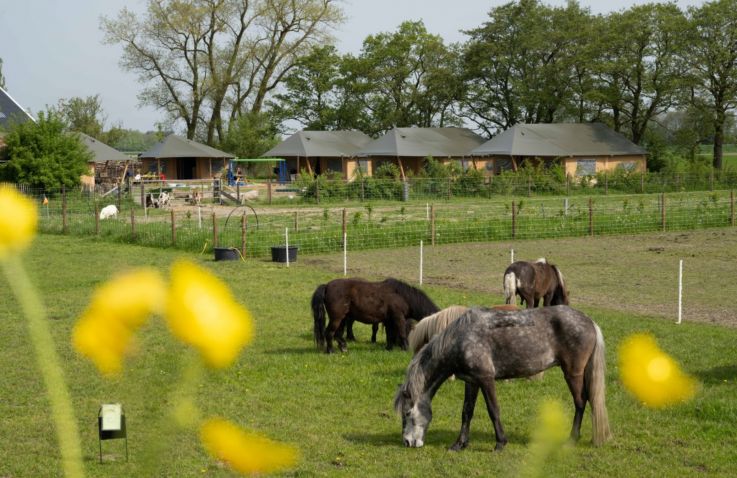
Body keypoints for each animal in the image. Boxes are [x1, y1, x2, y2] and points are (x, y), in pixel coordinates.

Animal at [394, 306, 612, 452]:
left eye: (407, 413)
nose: (407, 442)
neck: (462, 339)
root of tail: (590, 322)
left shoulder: (486, 379)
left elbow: (493, 410)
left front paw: (500, 443)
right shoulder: (471, 381)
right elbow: (466, 412)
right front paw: (459, 444)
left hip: (573, 373)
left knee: (581, 402)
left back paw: (572, 439)